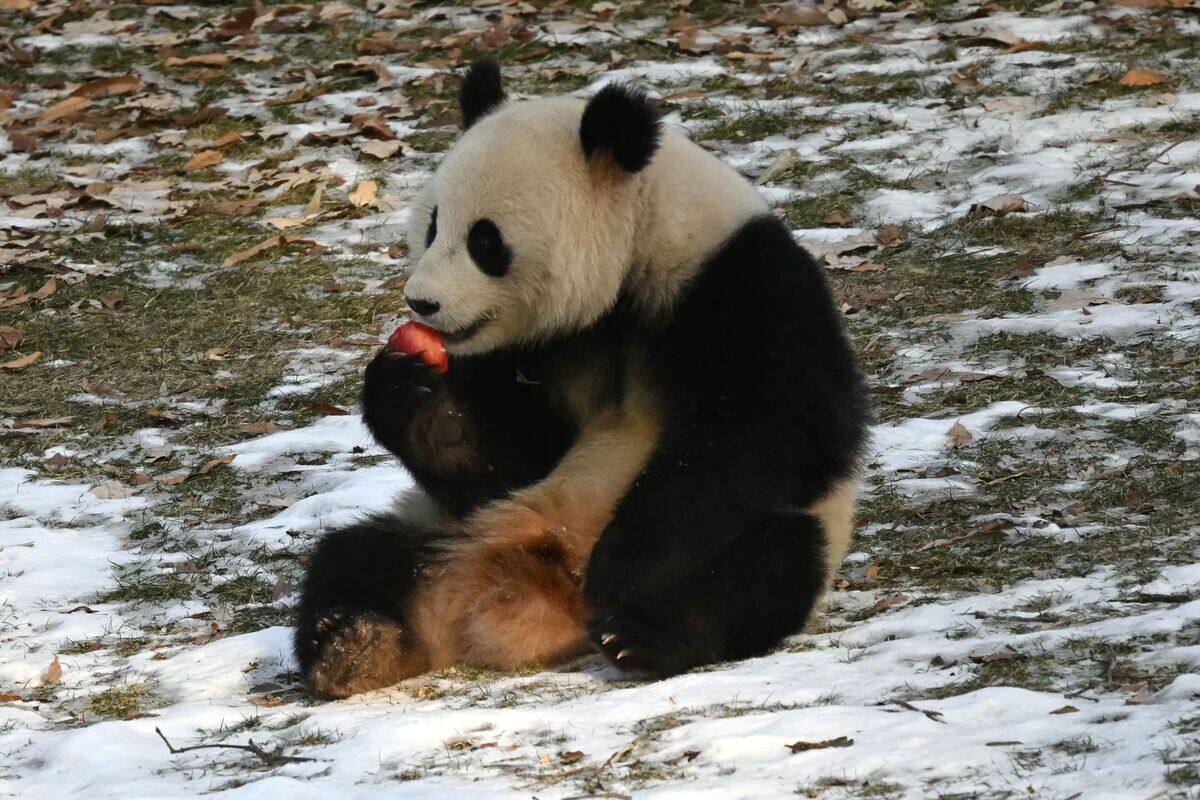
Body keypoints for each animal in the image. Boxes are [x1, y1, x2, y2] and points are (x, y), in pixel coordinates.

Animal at [294, 60, 870, 699]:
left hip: (786, 535)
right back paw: (352, 644)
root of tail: (542, 599)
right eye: (433, 226)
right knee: (356, 557)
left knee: (768, 564)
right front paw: (409, 395)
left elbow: (769, 430)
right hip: (444, 534)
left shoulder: (741, 281)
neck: (639, 245)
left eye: (485, 240)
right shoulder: (533, 353)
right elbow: (509, 463)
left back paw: (645, 638)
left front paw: (621, 564)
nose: (422, 303)